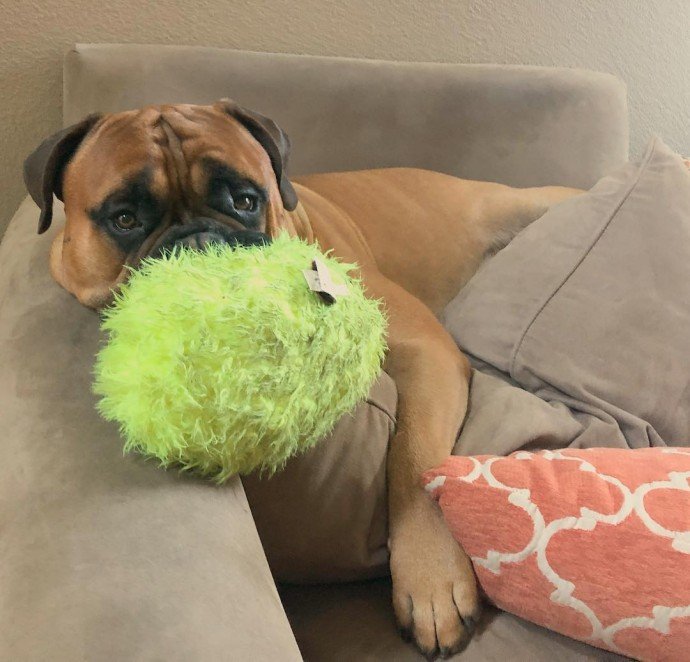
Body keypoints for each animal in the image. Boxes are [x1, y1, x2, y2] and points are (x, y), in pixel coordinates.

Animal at [22, 101, 580, 660]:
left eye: (246, 200)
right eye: (124, 218)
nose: (201, 247)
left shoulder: (425, 353)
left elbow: (414, 459)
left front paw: (431, 582)